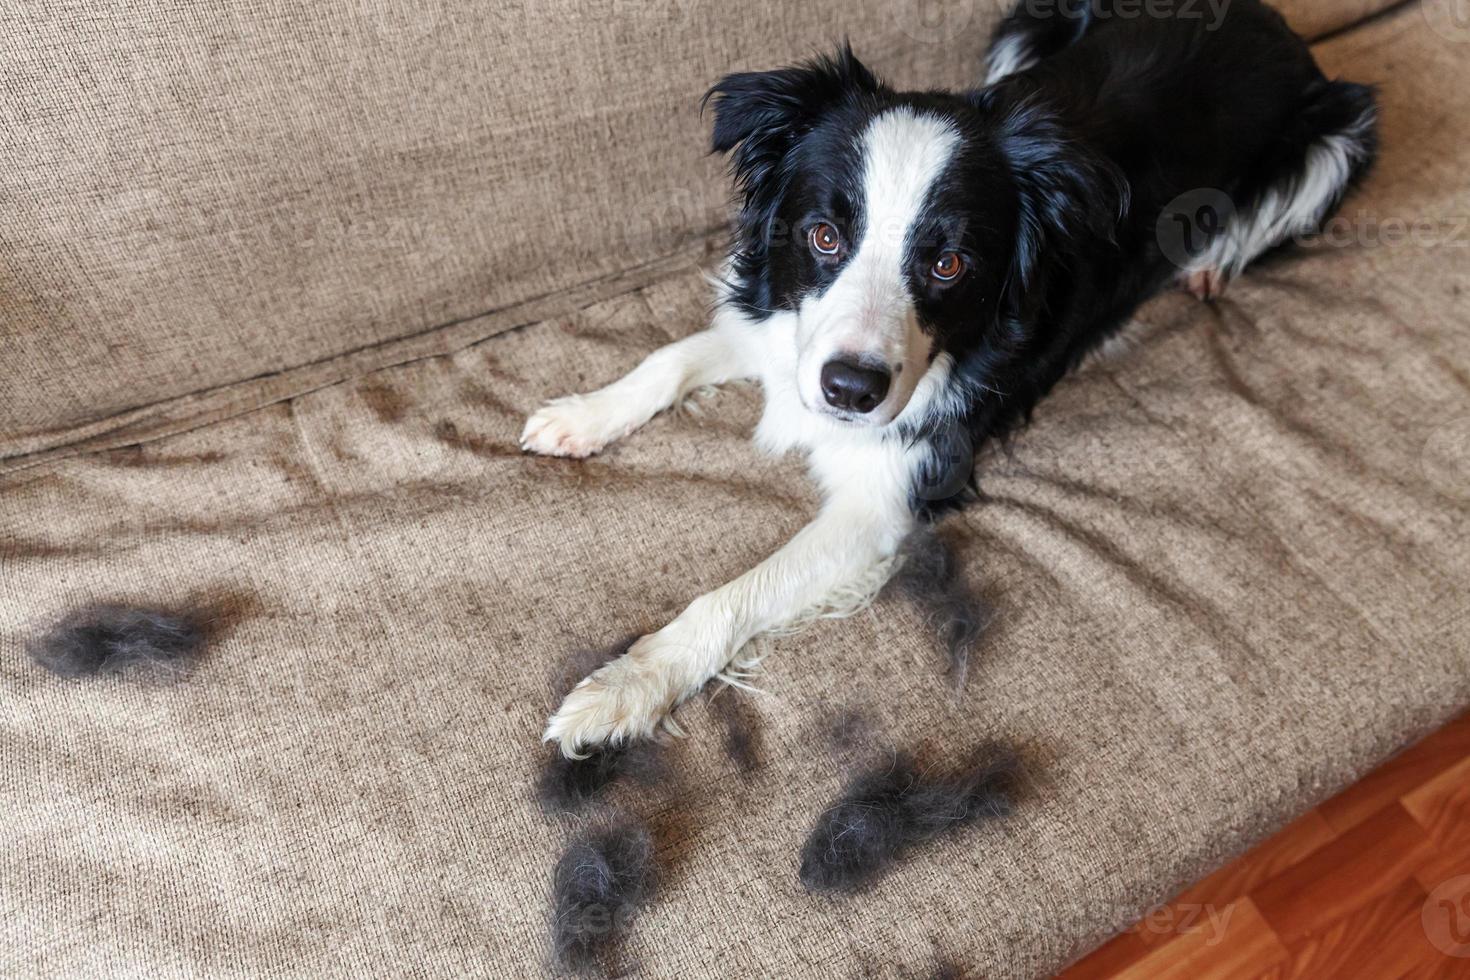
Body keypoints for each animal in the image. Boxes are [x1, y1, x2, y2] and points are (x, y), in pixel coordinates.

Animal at [526, 0, 1375, 758]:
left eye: (948, 263)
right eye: (824, 235)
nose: (850, 392)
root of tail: (1271, 20)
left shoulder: (889, 495)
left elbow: (736, 593)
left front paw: (623, 689)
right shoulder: (789, 331)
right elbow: (669, 359)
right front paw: (580, 415)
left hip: (1342, 137)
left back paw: (1207, 265)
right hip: (1027, 23)